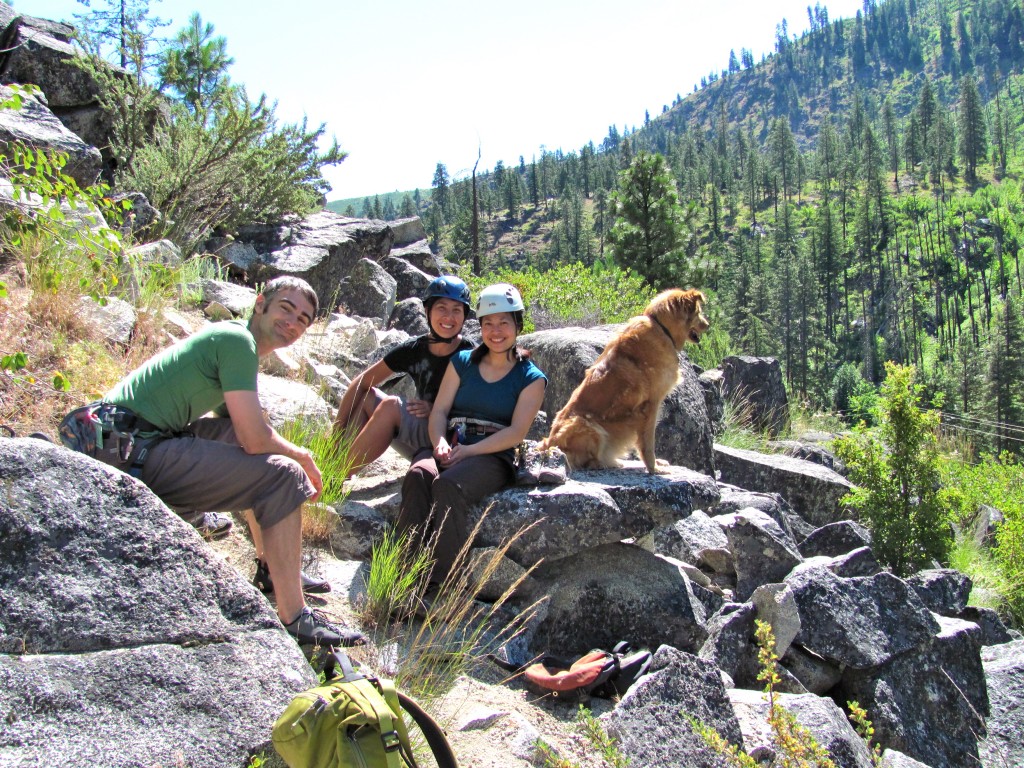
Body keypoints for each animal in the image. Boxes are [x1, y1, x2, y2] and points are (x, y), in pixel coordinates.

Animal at [540, 288, 708, 473]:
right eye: (698, 313)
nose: (708, 325)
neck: (661, 328)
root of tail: (547, 443)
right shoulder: (651, 404)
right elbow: (648, 442)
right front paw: (653, 468)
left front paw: (655, 465)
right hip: (587, 426)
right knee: (579, 461)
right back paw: (603, 464)